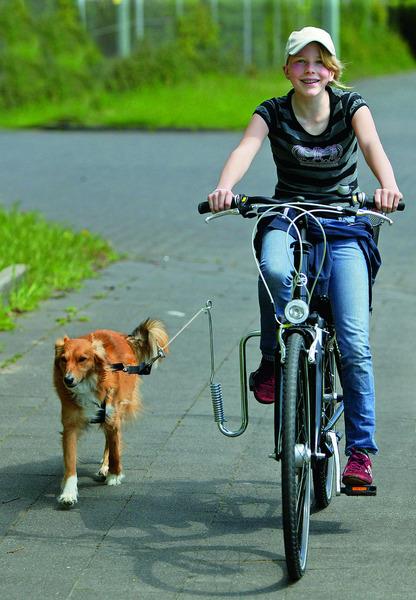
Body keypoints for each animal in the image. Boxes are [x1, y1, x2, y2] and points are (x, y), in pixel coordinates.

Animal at [53, 318, 167, 506]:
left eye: (82, 359)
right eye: (63, 359)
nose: (67, 380)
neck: (89, 383)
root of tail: (123, 336)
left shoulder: (112, 418)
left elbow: (114, 449)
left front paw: (114, 475)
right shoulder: (70, 426)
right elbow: (70, 462)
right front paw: (68, 493)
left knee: (110, 441)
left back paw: (106, 468)